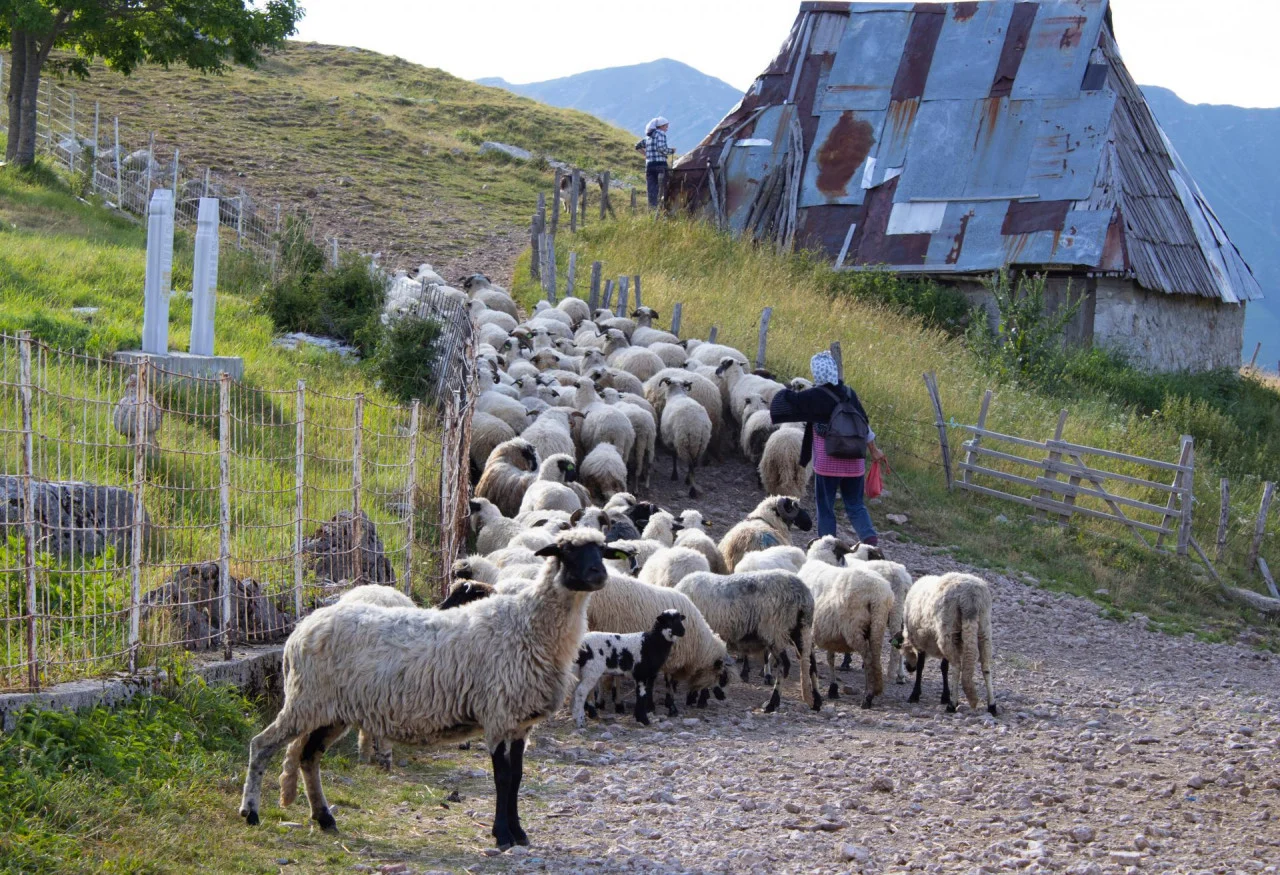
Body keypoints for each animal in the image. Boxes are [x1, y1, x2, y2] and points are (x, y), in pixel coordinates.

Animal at [240, 527, 624, 849]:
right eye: (567, 550)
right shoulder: (498, 715)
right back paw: (251, 812)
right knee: (262, 745)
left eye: (602, 550)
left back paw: (324, 818)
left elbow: (516, 778)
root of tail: (299, 631)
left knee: (308, 757)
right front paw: (502, 835)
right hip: (306, 701)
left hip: (330, 711)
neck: (528, 625)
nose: (599, 575)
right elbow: (502, 779)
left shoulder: (520, 724)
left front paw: (518, 833)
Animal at [586, 573, 732, 711]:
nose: (723, 696)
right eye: (719, 675)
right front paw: (661, 705)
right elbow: (664, 680)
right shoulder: (668, 655)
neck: (698, 644)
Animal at [670, 570, 819, 716]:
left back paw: (772, 703)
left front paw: (699, 698)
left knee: (785, 665)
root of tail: (802, 594)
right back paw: (816, 701)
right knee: (811, 662)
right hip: (801, 628)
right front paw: (695, 696)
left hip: (776, 631)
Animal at [798, 537, 890, 706]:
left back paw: (867, 697)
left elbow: (813, 661)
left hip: (854, 628)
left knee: (867, 657)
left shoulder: (811, 631)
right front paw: (833, 689)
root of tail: (876, 594)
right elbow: (830, 657)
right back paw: (874, 690)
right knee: (875, 657)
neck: (819, 560)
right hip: (877, 623)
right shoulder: (828, 630)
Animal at [901, 570, 998, 716]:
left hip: (947, 631)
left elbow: (921, 666)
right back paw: (992, 706)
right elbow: (944, 667)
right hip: (984, 629)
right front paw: (945, 696)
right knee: (986, 667)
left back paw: (952, 705)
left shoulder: (921, 641)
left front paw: (915, 695)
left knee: (957, 667)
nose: (908, 667)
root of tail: (970, 596)